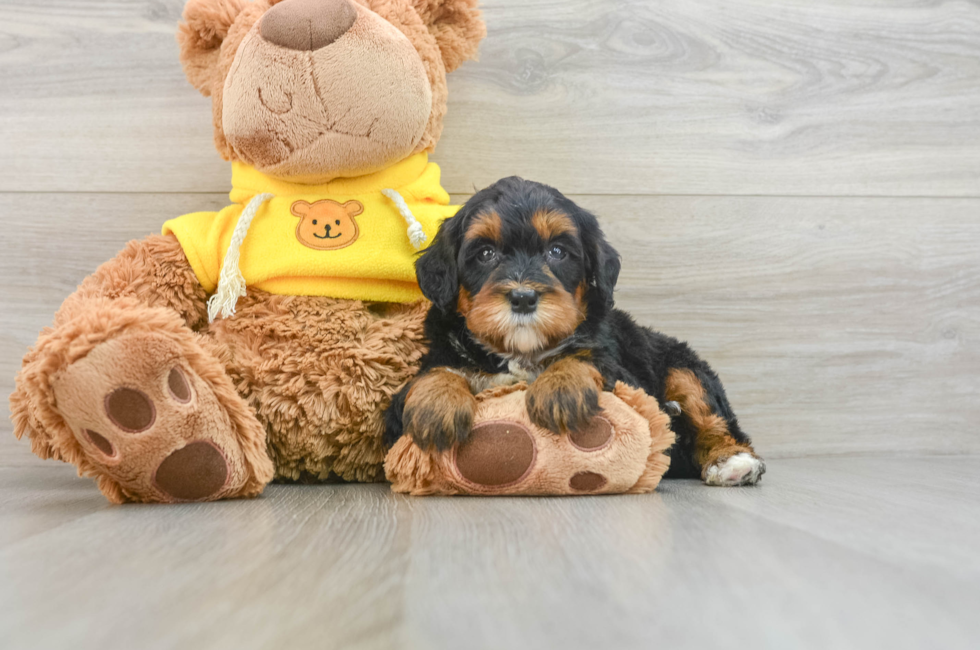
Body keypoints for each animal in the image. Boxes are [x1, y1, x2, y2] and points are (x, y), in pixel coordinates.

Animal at [382, 175, 764, 484]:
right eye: (486, 253)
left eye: (557, 251)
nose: (523, 297)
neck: (521, 353)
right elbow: (433, 375)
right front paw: (436, 407)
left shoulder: (625, 372)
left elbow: (585, 356)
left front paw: (561, 387)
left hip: (682, 365)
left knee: (711, 414)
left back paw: (733, 461)